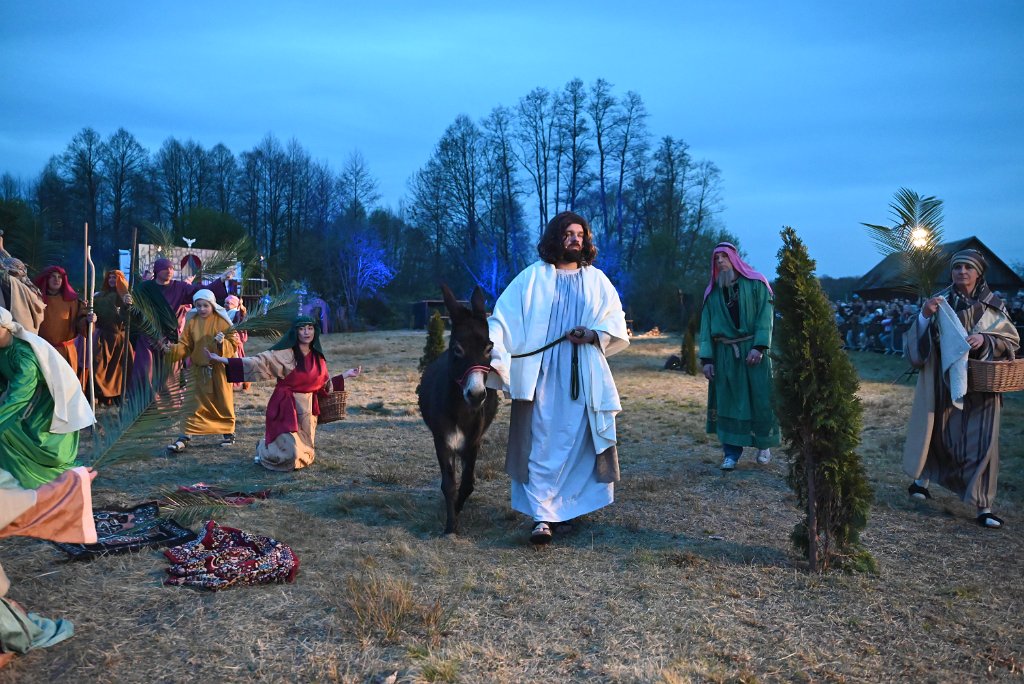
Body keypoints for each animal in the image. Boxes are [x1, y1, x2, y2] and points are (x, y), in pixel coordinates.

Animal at [418, 284, 499, 534]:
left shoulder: (473, 442)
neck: (462, 410)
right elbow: (449, 484)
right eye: (457, 349)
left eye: (489, 348)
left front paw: (457, 509)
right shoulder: (442, 440)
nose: (476, 395)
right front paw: (450, 526)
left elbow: (468, 483)